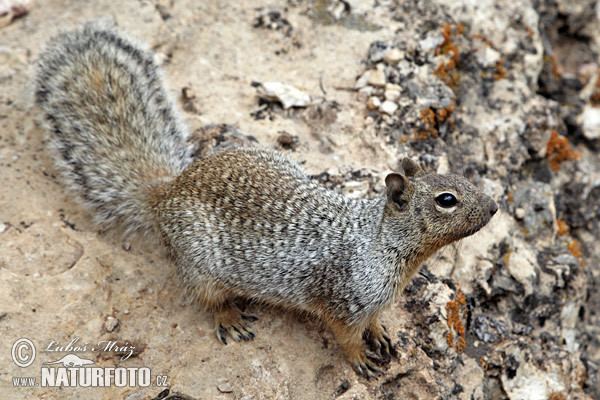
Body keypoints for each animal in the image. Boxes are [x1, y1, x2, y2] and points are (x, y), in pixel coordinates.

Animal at [35, 21, 500, 378]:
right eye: (446, 199)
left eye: (461, 178)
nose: (495, 206)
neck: (382, 244)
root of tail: (167, 191)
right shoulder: (342, 301)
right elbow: (346, 336)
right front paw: (360, 360)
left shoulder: (371, 301)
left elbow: (374, 321)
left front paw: (381, 333)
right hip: (200, 266)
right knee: (206, 299)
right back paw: (229, 318)